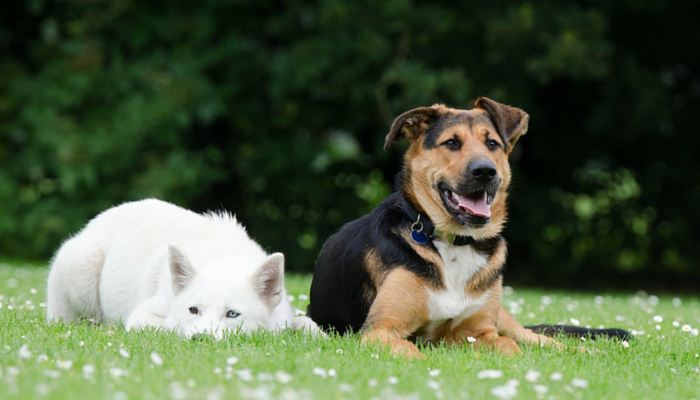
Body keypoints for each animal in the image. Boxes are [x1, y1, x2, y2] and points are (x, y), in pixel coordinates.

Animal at [49, 198, 320, 338]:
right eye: (193, 310)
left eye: (232, 314)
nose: (200, 339)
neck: (223, 257)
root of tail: (93, 222)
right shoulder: (142, 316)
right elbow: (170, 326)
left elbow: (308, 325)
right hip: (80, 267)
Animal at [308, 97, 628, 360]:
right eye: (451, 143)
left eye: (493, 144)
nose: (485, 171)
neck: (455, 241)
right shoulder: (381, 329)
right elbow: (412, 352)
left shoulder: (481, 331)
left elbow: (510, 347)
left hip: (506, 319)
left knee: (535, 338)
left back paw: (589, 352)